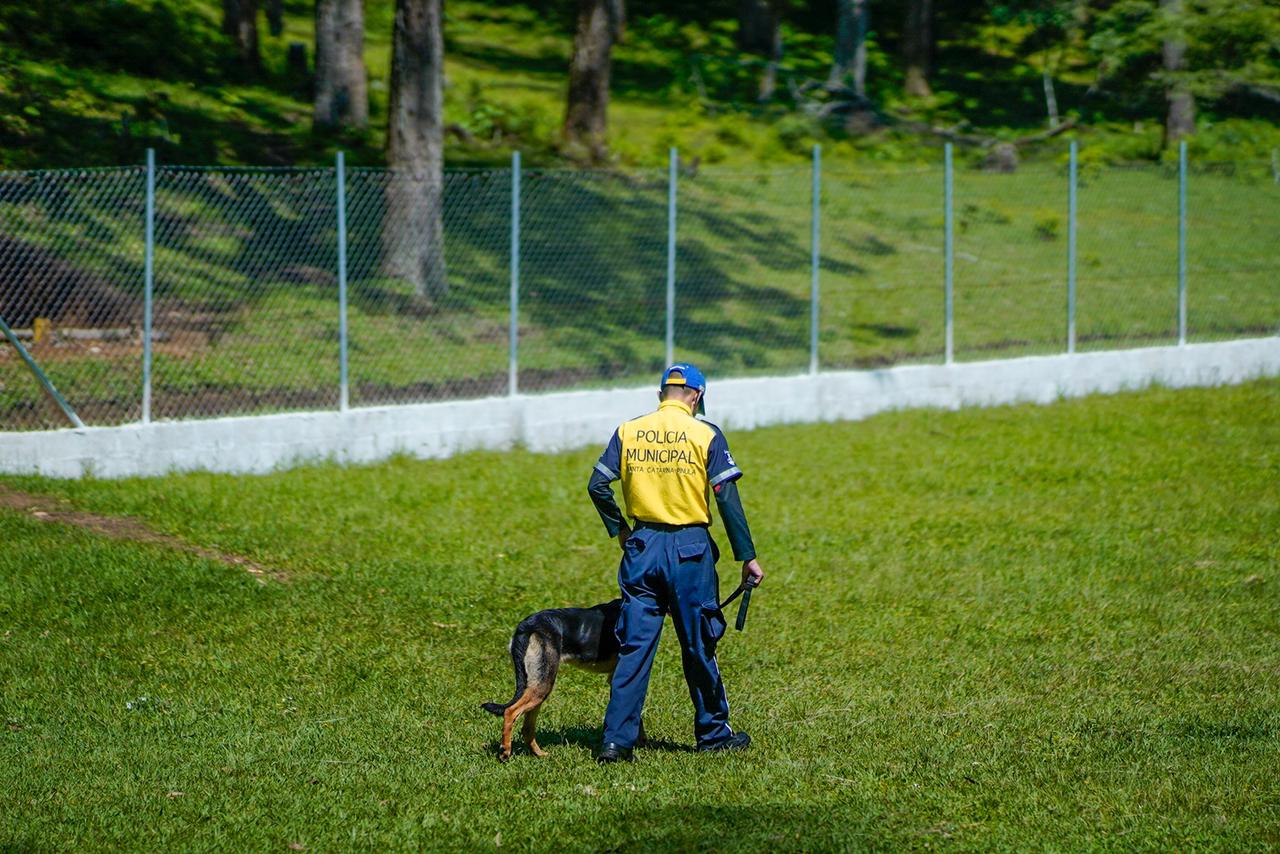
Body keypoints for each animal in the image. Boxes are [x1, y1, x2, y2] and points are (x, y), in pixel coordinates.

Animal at [481, 601, 645, 763]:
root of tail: (526, 626)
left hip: (538, 686)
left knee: (527, 729)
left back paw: (540, 755)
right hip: (543, 684)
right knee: (510, 711)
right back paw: (505, 752)